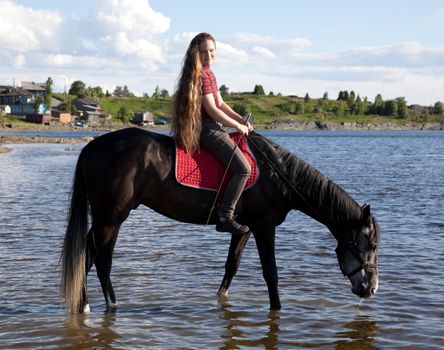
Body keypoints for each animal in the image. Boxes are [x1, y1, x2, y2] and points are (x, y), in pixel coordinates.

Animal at [60, 129, 380, 314]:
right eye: (371, 245)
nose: (371, 288)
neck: (278, 175)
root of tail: (91, 147)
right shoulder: (264, 227)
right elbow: (271, 273)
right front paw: (277, 309)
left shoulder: (245, 228)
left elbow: (231, 267)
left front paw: (221, 300)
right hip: (109, 219)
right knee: (88, 256)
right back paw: (87, 305)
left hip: (112, 220)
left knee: (100, 260)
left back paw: (107, 304)